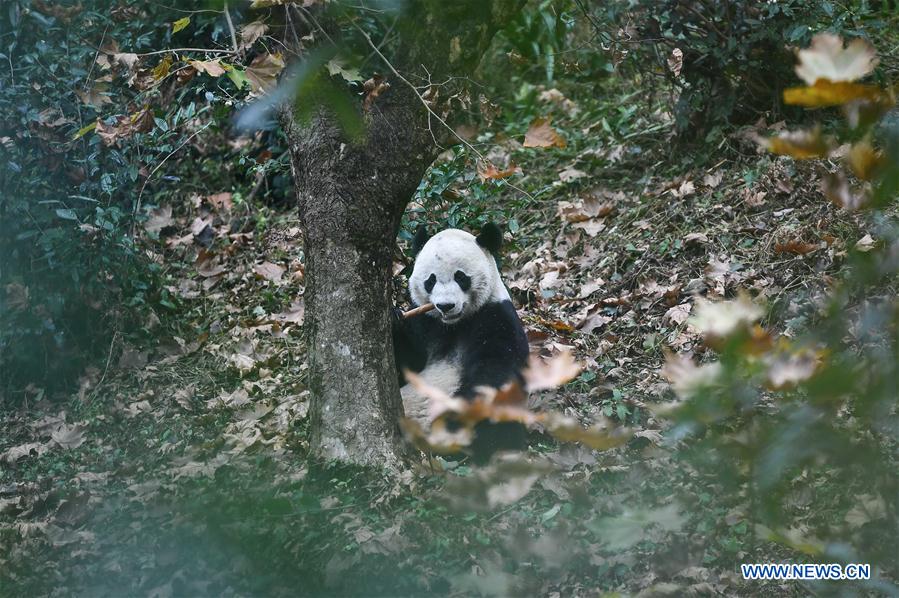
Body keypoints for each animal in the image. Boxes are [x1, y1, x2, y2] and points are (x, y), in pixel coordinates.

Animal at [392, 222, 530, 462]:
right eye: (430, 280)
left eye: (461, 277)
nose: (445, 306)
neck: (455, 325)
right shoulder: (425, 323)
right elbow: (406, 361)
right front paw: (394, 316)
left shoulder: (496, 316)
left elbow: (495, 371)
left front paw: (454, 415)